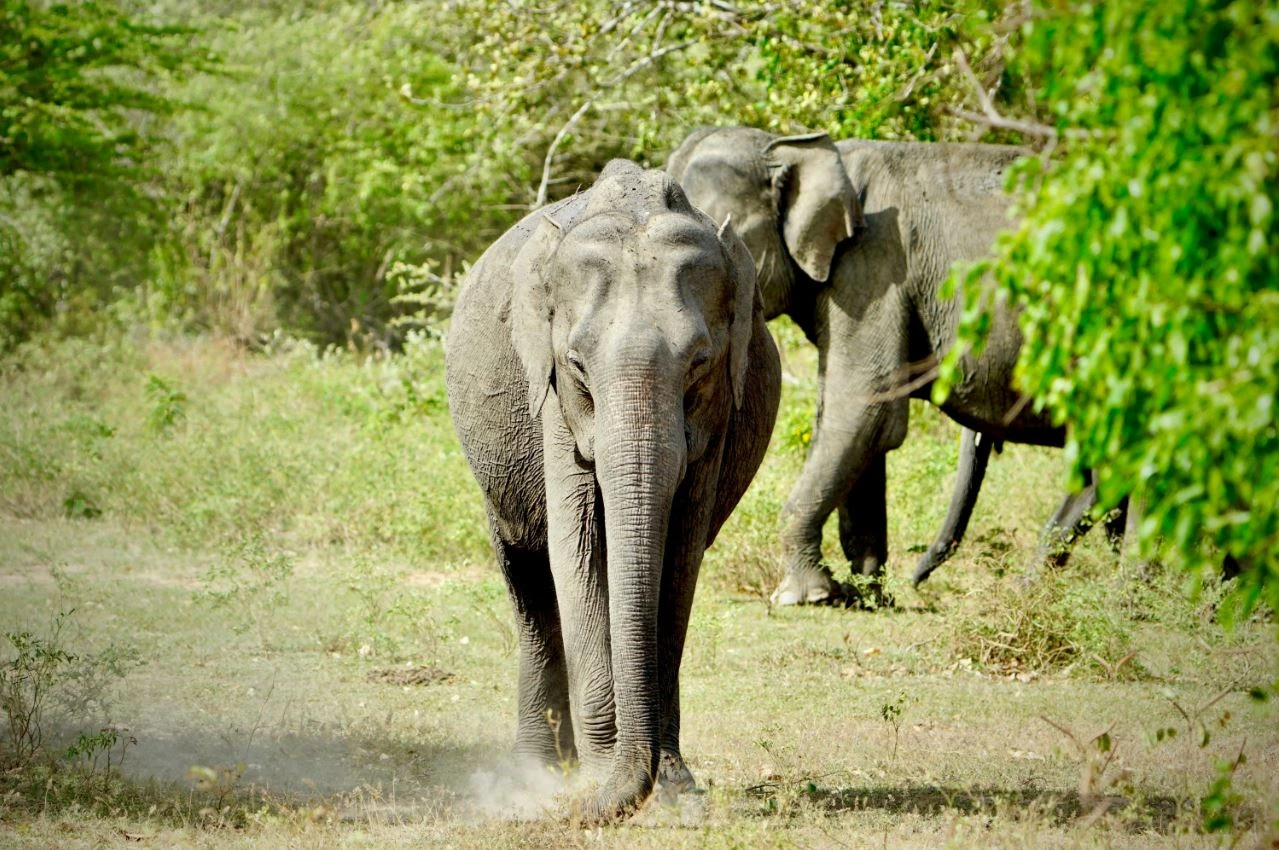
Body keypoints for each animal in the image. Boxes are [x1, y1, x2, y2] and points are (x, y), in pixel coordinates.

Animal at [445, 160, 781, 821]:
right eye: (577, 364)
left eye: (700, 363)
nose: (635, 786)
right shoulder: (552, 398)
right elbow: (575, 552)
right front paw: (601, 779)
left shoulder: (718, 415)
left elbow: (680, 558)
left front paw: (677, 788)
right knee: (528, 580)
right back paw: (543, 774)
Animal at [667, 127, 1075, 606]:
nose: (915, 582)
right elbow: (857, 421)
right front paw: (864, 596)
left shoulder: (875, 266)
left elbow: (864, 408)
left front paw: (805, 597)